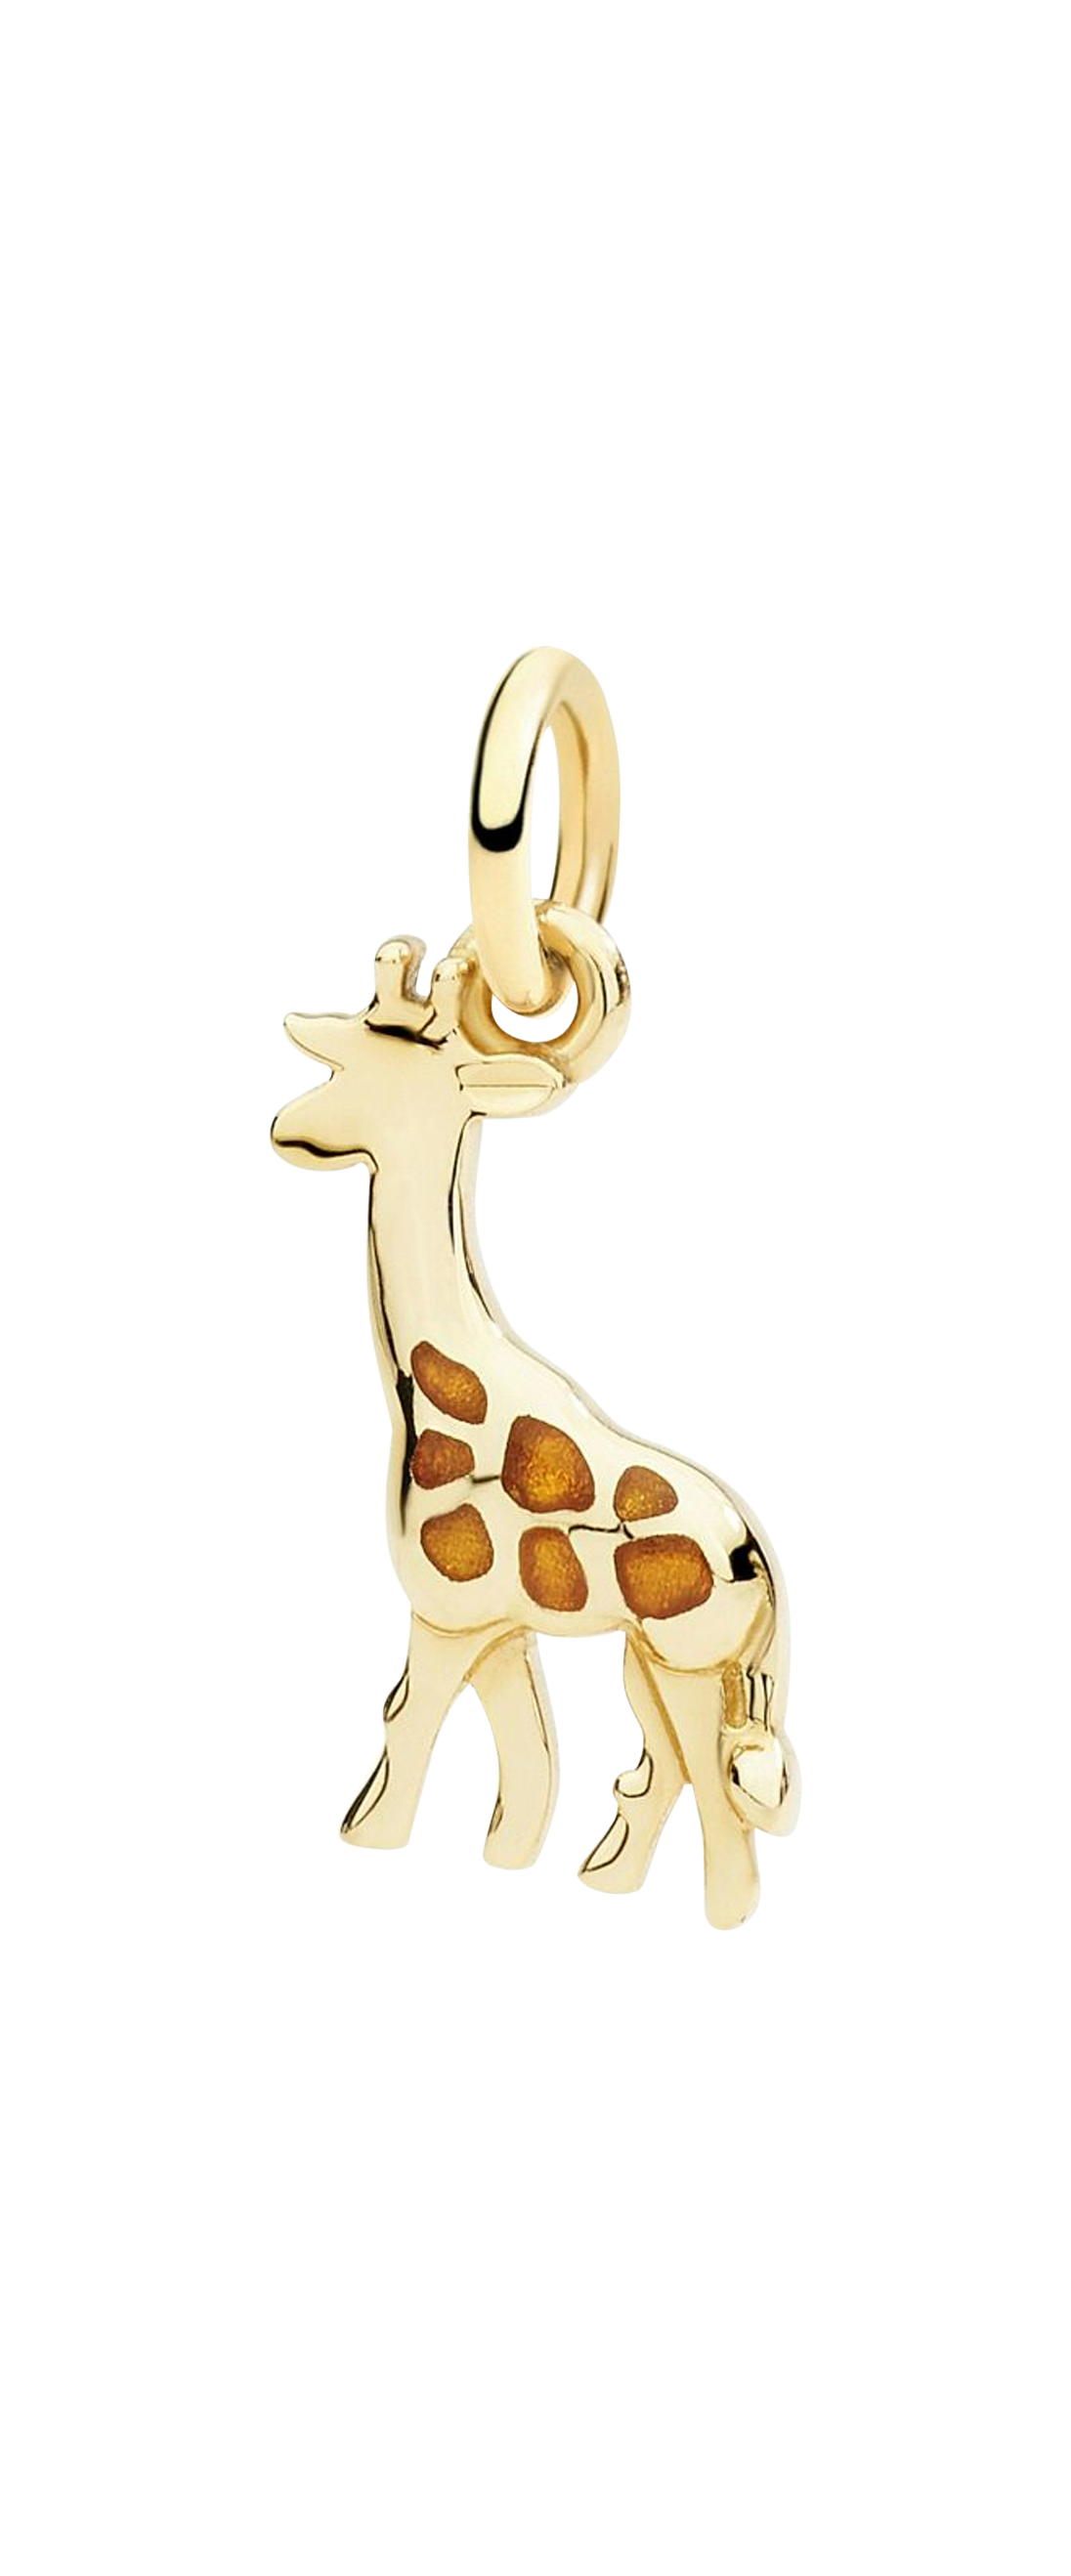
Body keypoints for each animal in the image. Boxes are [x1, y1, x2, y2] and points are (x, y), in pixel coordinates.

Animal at [270, 917, 801, 1930]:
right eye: (339, 1055)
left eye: (388, 1076)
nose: (287, 1129)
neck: (431, 1381)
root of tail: (758, 1557)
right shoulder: (497, 1621)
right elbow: (526, 1745)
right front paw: (507, 1860)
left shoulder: (443, 1611)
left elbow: (409, 1718)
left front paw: (373, 1840)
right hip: (648, 1660)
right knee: (667, 1767)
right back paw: (606, 1880)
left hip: (686, 1661)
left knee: (716, 1784)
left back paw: (721, 1915)